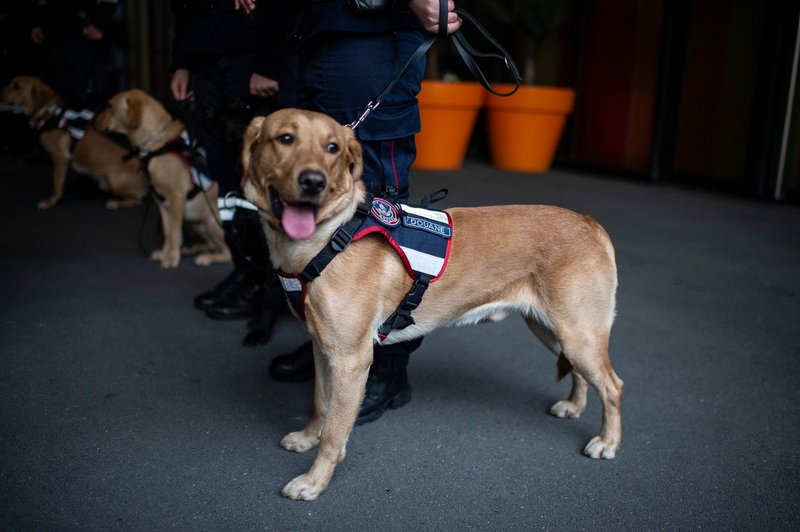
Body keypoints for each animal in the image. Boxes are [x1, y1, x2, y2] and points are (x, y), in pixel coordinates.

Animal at [0, 77, 146, 210]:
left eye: (16, 87)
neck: (48, 114)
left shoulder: (60, 159)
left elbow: (57, 185)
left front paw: (50, 202)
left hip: (113, 179)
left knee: (137, 200)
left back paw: (115, 203)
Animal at [95, 89, 231, 270]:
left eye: (110, 106)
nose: (93, 120)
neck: (155, 145)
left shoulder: (176, 198)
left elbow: (174, 233)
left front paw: (172, 258)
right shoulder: (161, 203)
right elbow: (168, 232)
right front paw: (165, 253)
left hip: (211, 223)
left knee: (228, 253)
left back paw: (206, 258)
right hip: (198, 224)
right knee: (211, 245)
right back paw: (194, 248)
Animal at [241, 109, 628, 502]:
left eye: (332, 147)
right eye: (285, 138)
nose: (313, 182)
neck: (330, 237)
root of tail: (589, 223)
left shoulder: (351, 361)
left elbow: (335, 432)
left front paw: (315, 481)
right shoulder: (323, 348)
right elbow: (320, 403)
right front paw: (308, 437)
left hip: (578, 334)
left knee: (613, 386)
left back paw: (608, 442)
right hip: (555, 331)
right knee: (580, 373)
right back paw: (575, 406)